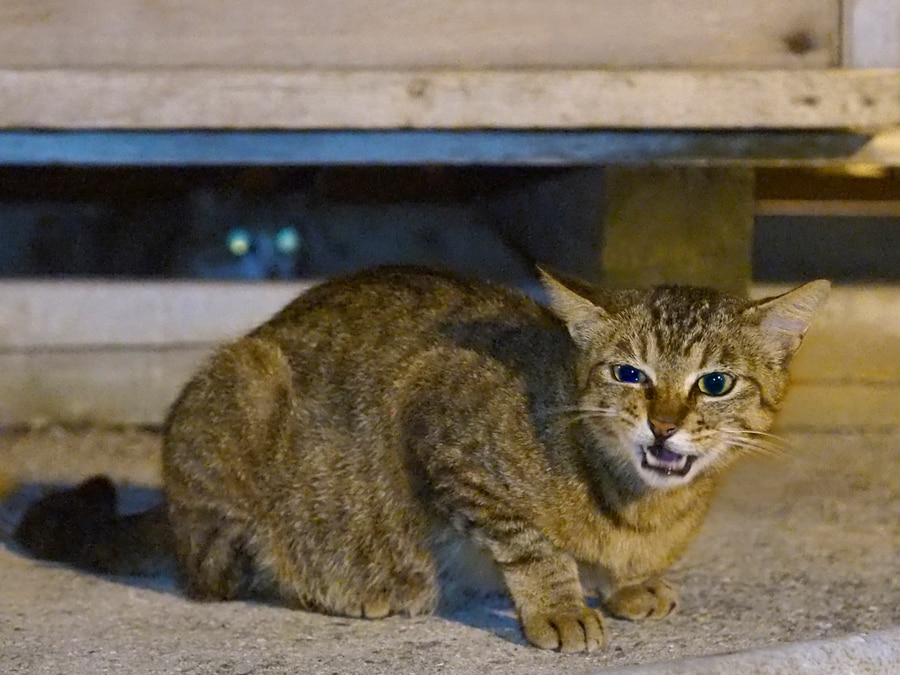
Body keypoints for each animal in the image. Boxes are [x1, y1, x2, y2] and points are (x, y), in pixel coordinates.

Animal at [14, 266, 828, 652]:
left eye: (714, 383)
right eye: (629, 374)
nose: (663, 427)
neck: (638, 507)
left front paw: (626, 584)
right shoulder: (444, 429)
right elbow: (534, 545)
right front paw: (562, 604)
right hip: (244, 391)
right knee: (219, 573)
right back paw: (344, 588)